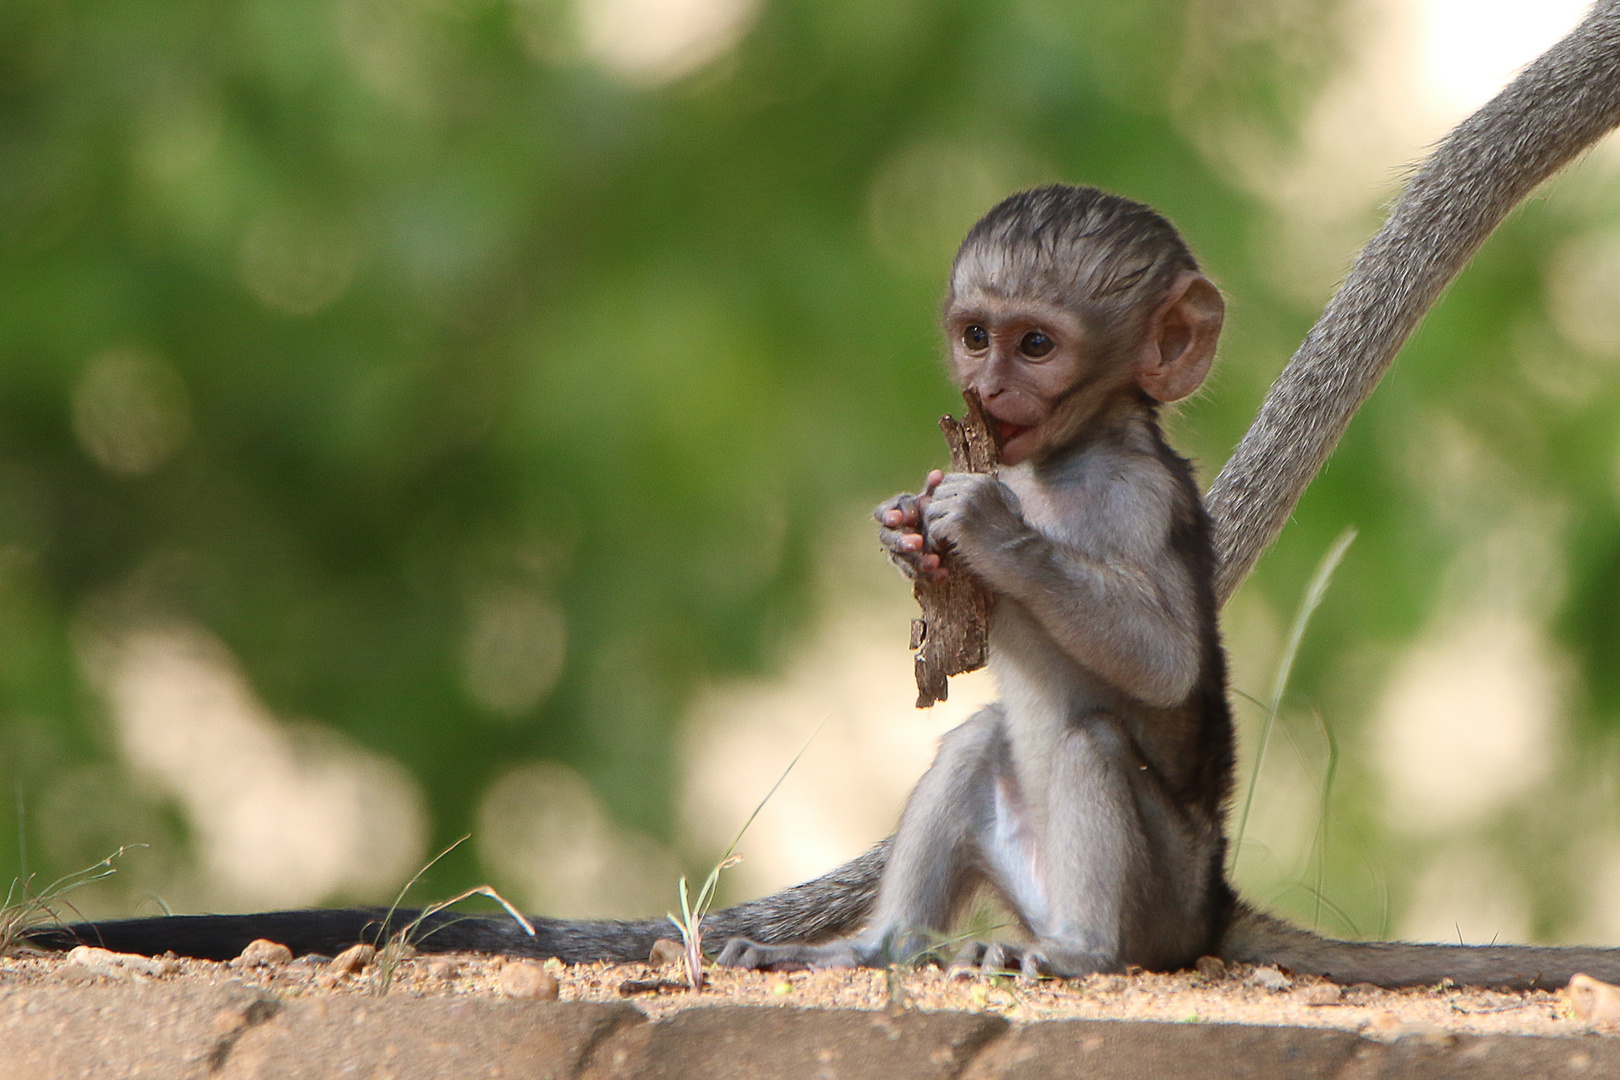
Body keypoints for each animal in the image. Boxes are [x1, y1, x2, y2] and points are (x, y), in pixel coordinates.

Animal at [716, 186, 1231, 977]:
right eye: (978, 336)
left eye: (1036, 345)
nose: (985, 388)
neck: (1060, 466)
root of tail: (1213, 912)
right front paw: (903, 531)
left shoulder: (1139, 496)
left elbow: (1167, 661)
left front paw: (989, 527)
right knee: (977, 739)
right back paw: (867, 948)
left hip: (1167, 904)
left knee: (1095, 739)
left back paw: (1078, 952)